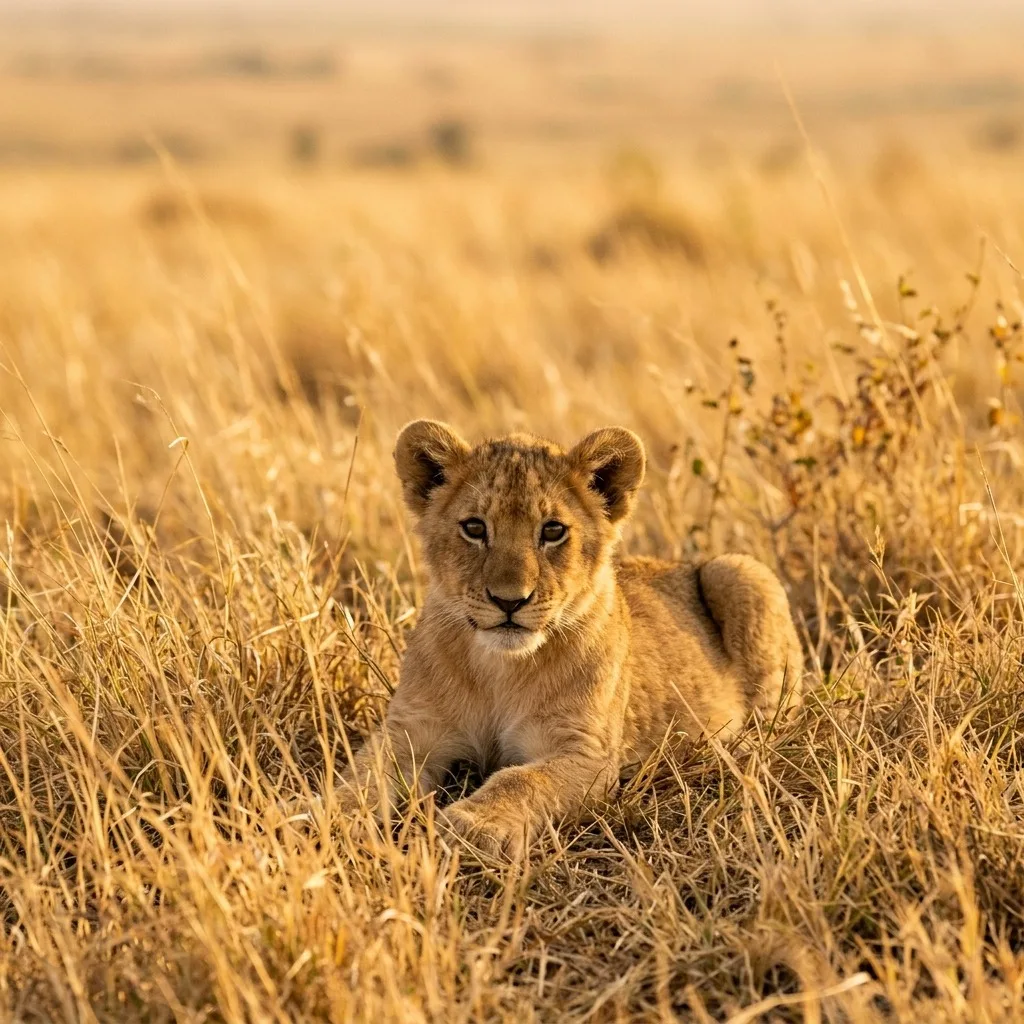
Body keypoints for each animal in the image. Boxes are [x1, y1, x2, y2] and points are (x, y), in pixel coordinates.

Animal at [342, 420, 804, 858]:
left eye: (552, 531)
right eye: (474, 527)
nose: (509, 600)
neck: (499, 670)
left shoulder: (587, 754)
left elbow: (521, 780)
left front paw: (474, 826)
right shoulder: (410, 729)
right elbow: (364, 773)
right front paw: (330, 812)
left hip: (742, 572)